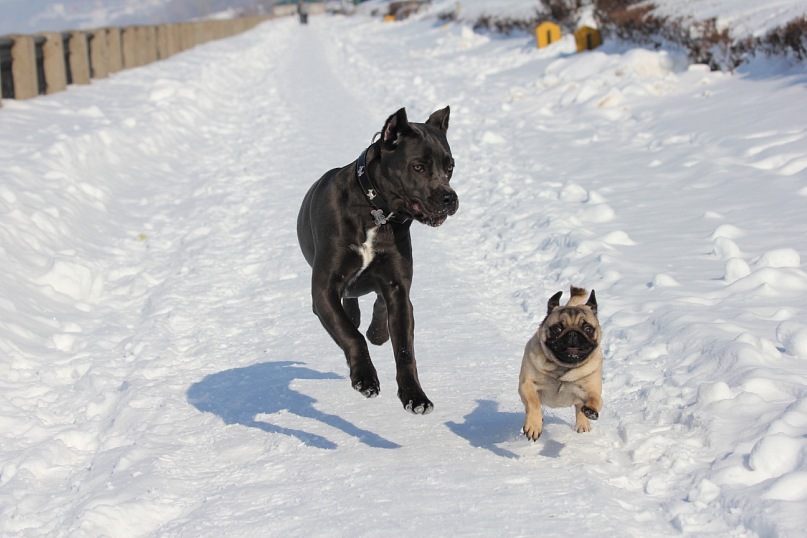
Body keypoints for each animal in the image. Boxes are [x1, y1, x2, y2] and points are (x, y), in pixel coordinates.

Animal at [297, 107, 458, 414]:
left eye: (450, 167)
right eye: (418, 167)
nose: (450, 198)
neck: (376, 212)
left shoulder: (397, 286)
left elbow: (404, 348)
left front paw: (414, 396)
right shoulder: (323, 289)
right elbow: (351, 334)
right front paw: (365, 379)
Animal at [518, 286, 602, 440]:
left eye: (588, 329)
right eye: (557, 329)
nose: (573, 333)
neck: (563, 367)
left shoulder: (592, 390)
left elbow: (594, 399)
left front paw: (590, 410)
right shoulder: (527, 385)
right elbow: (533, 403)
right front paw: (533, 425)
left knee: (579, 409)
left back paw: (583, 426)